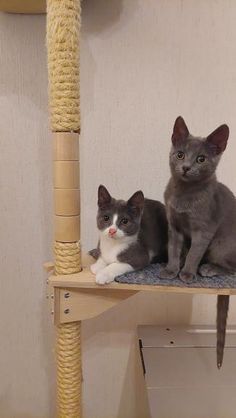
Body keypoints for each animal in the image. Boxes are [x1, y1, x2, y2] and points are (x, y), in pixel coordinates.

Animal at [159, 116, 235, 368]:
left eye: (201, 159)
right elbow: (173, 249)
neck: (184, 194)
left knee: (232, 267)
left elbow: (194, 252)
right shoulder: (174, 225)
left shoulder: (204, 230)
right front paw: (171, 269)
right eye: (180, 154)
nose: (186, 167)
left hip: (220, 244)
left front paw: (187, 273)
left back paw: (208, 268)